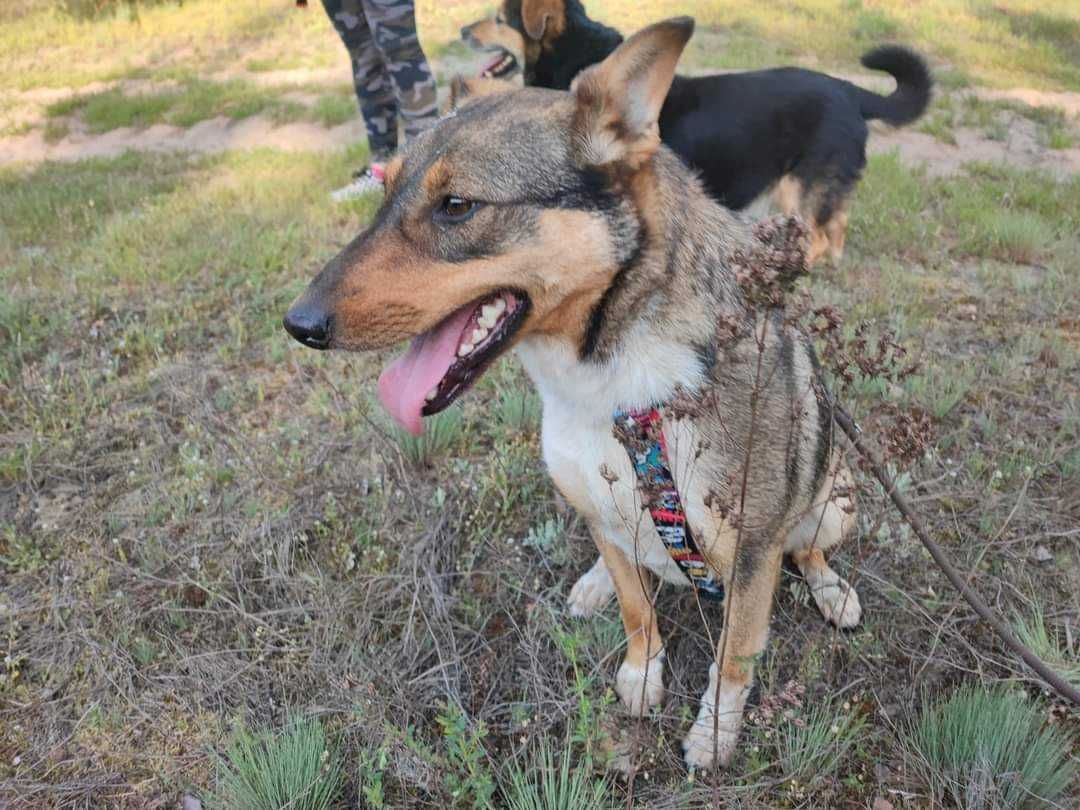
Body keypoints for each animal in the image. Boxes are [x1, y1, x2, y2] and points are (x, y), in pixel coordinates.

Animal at [285, 17, 859, 768]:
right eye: (384, 193)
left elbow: (733, 658)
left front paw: (713, 732)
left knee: (811, 548)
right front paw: (642, 675)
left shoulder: (754, 555)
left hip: (838, 498)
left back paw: (832, 589)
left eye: (457, 206)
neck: (611, 389)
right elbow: (638, 613)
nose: (297, 324)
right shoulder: (604, 511)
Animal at [460, 0, 933, 264]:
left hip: (803, 189)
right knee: (836, 229)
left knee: (818, 237)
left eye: (498, 18)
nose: (462, 29)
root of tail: (851, 91)